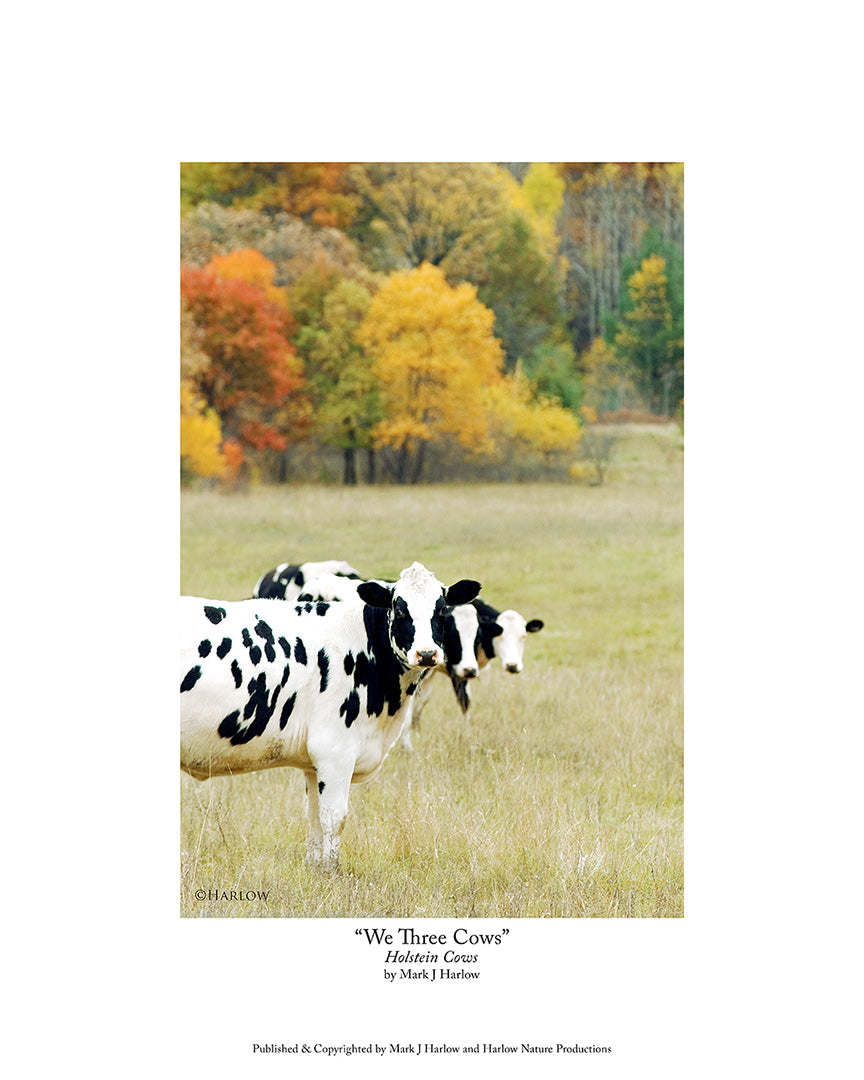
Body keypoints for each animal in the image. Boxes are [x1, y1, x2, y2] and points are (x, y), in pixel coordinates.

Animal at [180, 562, 481, 869]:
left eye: (441, 610)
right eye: (399, 609)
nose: (427, 653)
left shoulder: (313, 763)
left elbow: (314, 817)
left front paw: (316, 868)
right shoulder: (335, 751)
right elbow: (334, 818)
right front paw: (333, 870)